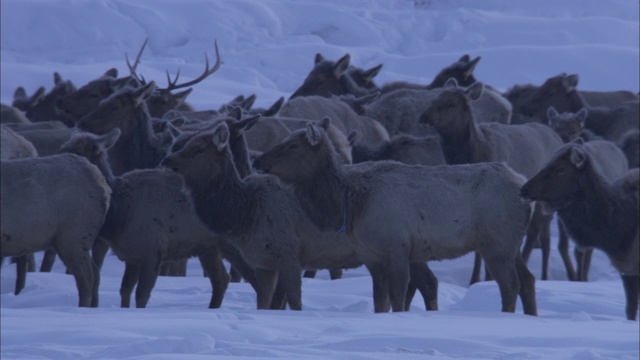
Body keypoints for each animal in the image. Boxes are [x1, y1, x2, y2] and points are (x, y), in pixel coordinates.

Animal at [252, 118, 536, 316]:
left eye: (292, 145)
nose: (257, 161)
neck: (352, 205)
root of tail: (522, 187)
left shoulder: (396, 247)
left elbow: (398, 296)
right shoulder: (371, 256)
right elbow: (380, 300)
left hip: (496, 242)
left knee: (510, 285)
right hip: (511, 242)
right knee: (528, 279)